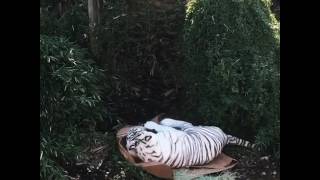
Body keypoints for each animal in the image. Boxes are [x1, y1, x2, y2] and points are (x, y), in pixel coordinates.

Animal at [125, 118, 255, 167]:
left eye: (133, 131)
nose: (128, 131)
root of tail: (225, 137)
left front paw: (148, 124)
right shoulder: (177, 134)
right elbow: (164, 128)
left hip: (191, 129)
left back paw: (165, 120)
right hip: (192, 129)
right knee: (186, 123)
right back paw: (165, 120)